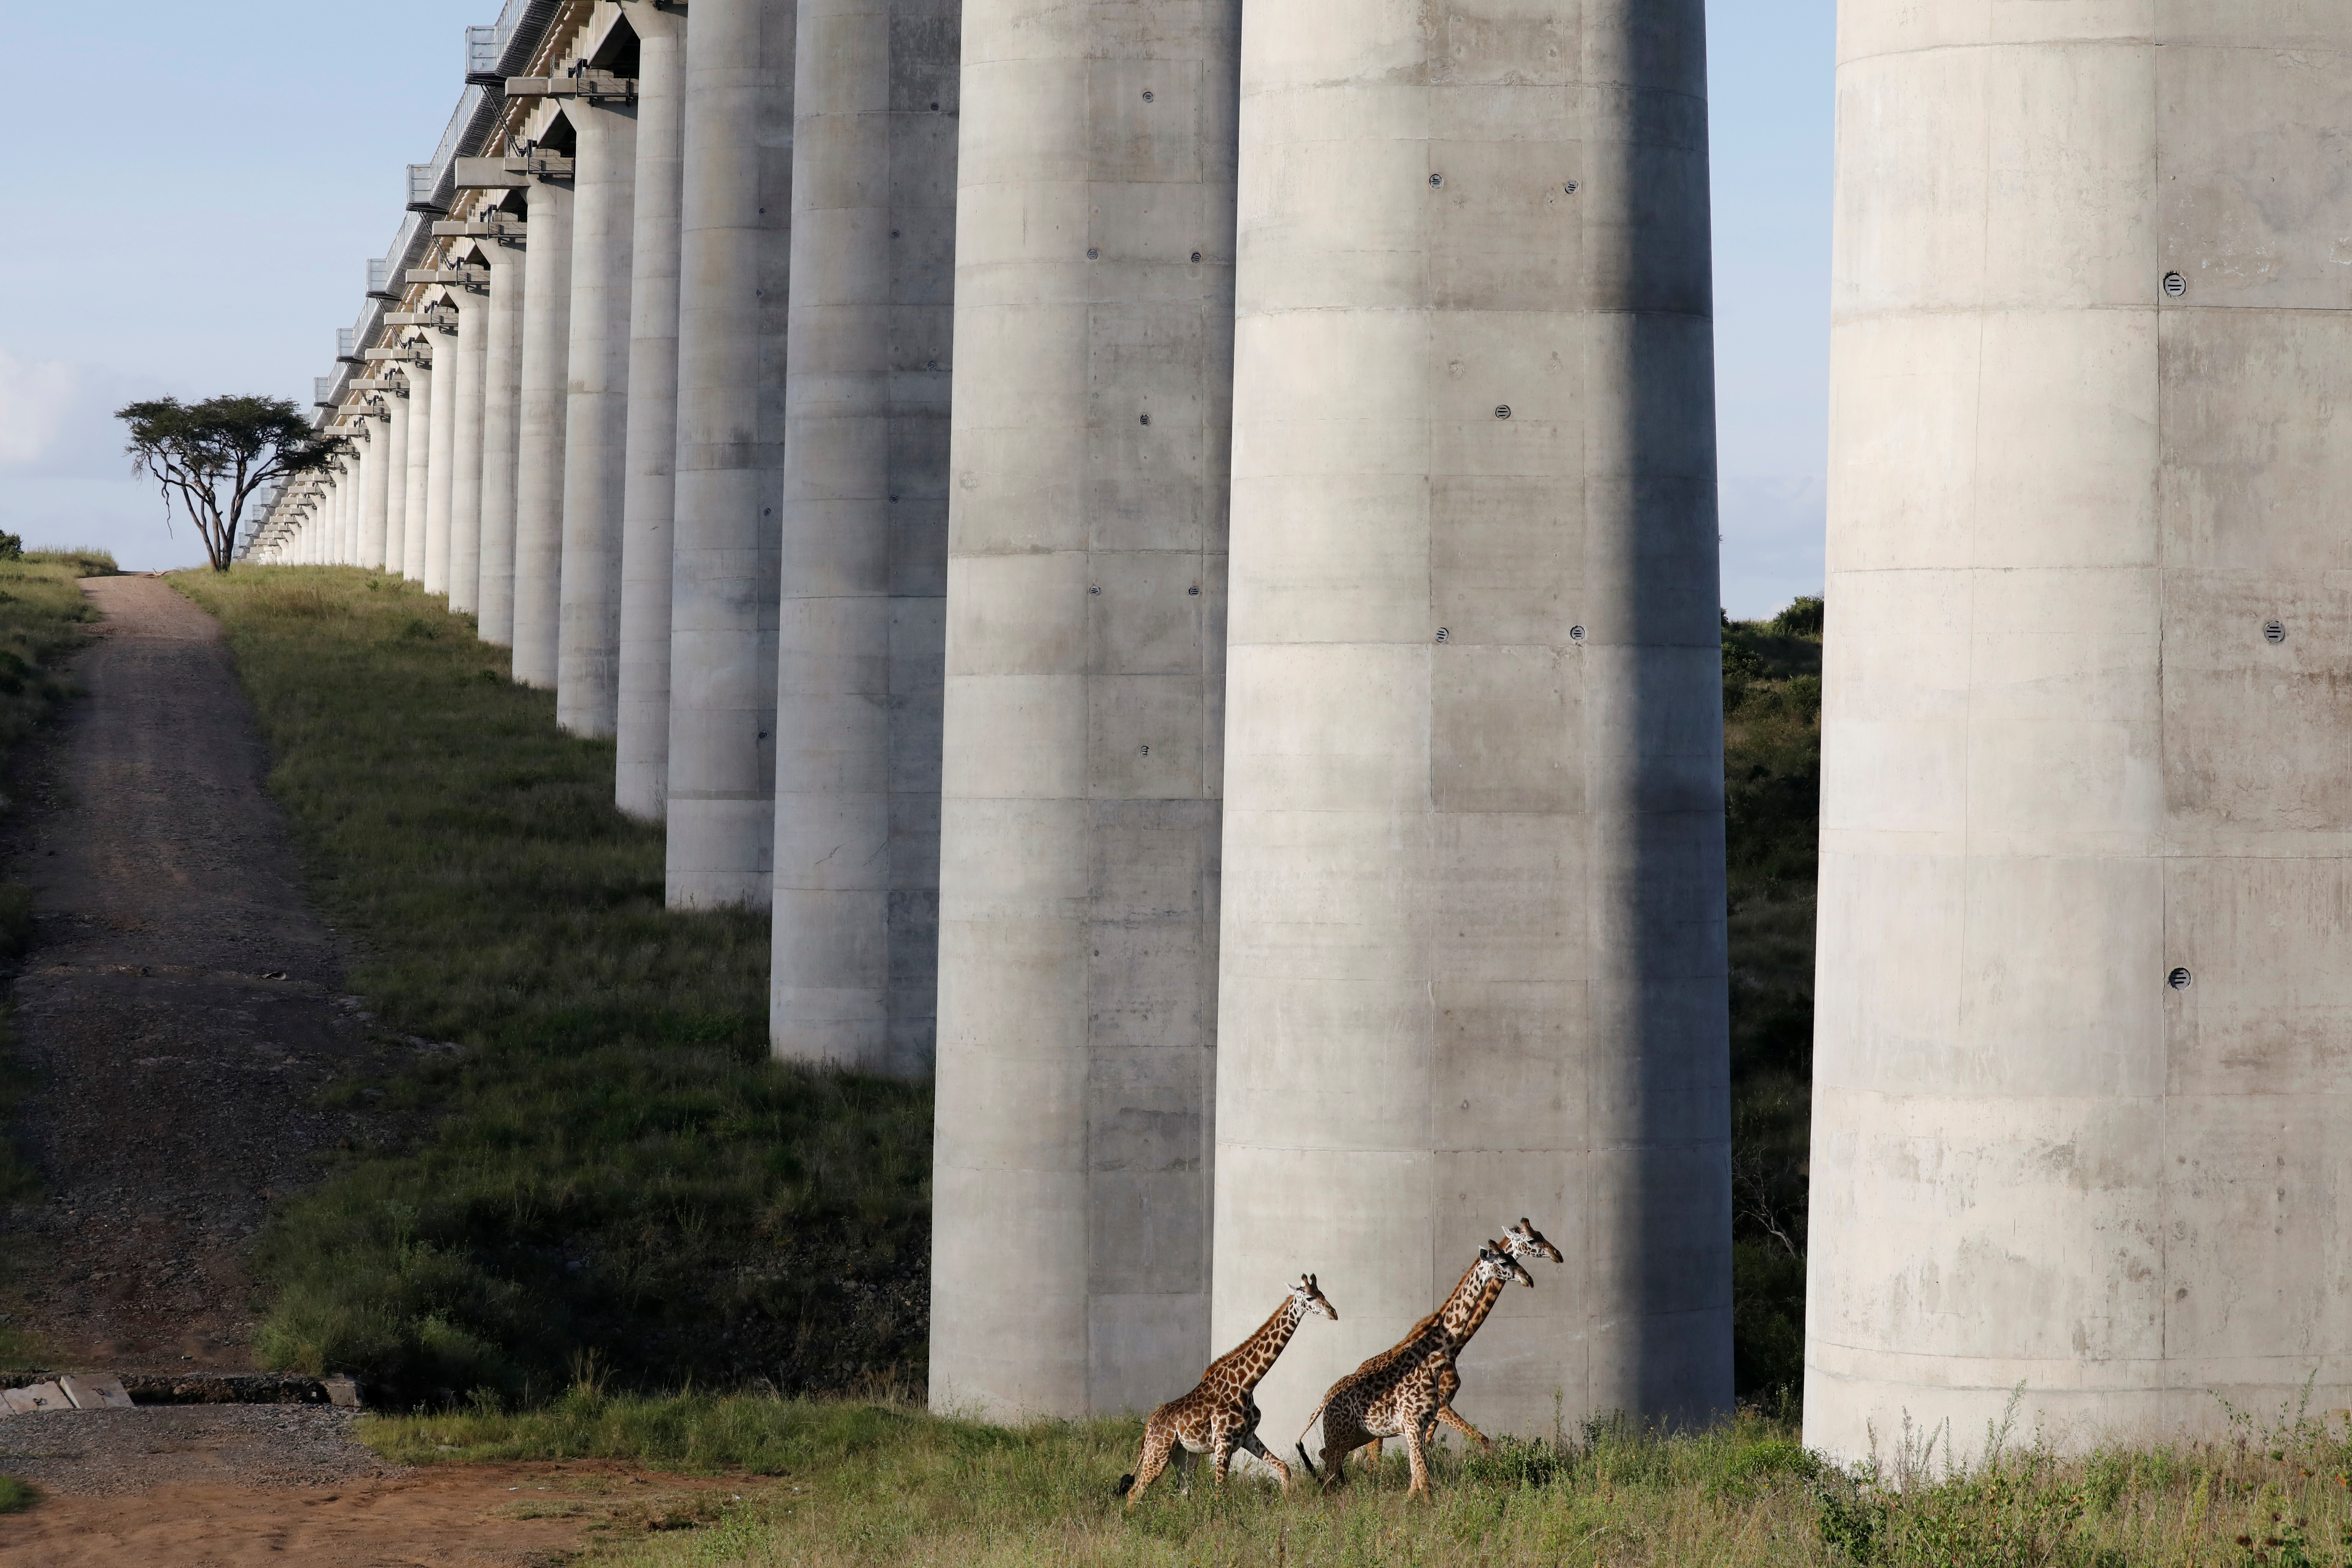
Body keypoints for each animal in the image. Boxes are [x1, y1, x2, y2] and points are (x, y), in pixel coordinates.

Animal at [1116, 1274, 1338, 1505]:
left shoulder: (1247, 1437)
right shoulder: (1223, 1442)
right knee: (1135, 1492)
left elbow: (1284, 1468)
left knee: (1183, 1492)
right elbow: (1220, 1493)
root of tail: (1149, 1425)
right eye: (1310, 1298)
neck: (1246, 1384)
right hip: (1159, 1453)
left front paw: (1287, 1504)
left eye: (1323, 1293)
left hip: (1185, 1456)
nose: (1334, 1313)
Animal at [1293, 1243, 1534, 1498]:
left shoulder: (1421, 1425)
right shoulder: (1414, 1424)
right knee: (1333, 1472)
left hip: (1359, 1435)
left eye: (1514, 1258)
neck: (1433, 1359)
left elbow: (1417, 1480)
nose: (1528, 1279)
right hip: (1342, 1436)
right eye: (1504, 1262)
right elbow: (1425, 1484)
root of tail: (1325, 1401)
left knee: (1332, 1462)